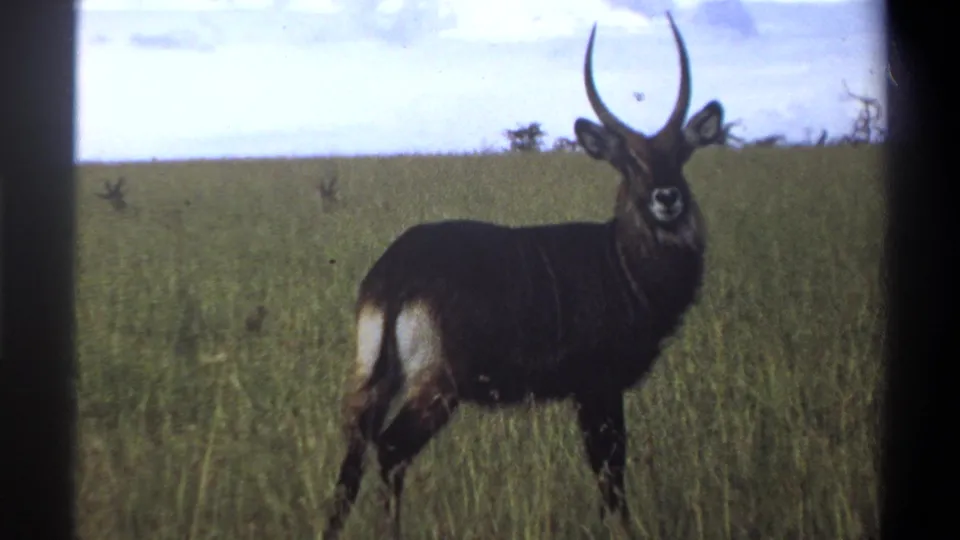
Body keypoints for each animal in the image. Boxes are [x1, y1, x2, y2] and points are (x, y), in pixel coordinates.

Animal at [322, 12, 726, 540]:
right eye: (628, 162)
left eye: (681, 153)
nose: (667, 197)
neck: (620, 260)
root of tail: (396, 270)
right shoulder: (598, 387)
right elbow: (610, 473)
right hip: (437, 386)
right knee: (390, 451)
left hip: (374, 379)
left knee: (351, 464)